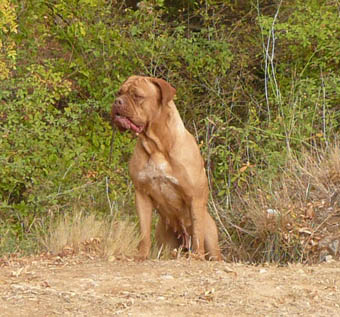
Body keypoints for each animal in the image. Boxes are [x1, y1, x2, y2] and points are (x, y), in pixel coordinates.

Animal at [113, 74, 222, 260]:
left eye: (137, 96)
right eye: (119, 92)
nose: (117, 101)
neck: (156, 146)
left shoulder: (195, 197)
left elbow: (197, 232)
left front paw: (196, 257)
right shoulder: (141, 194)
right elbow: (144, 232)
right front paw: (141, 255)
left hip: (211, 239)